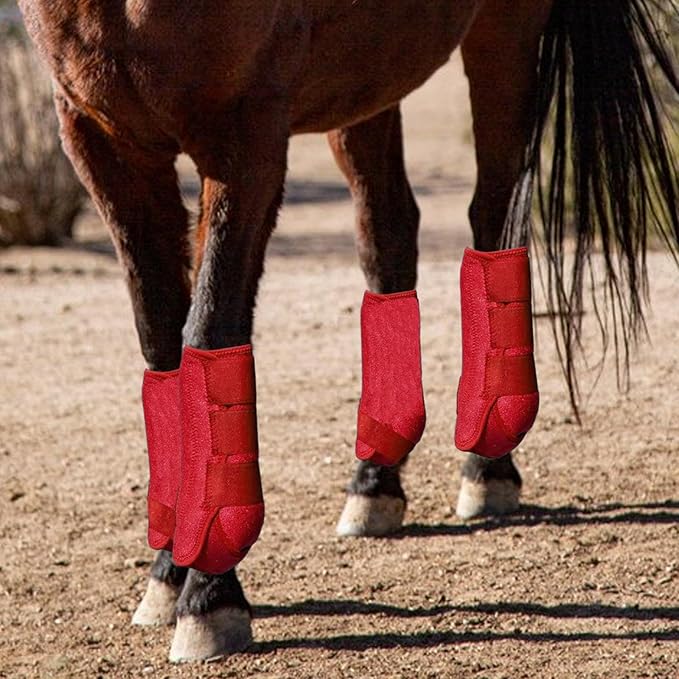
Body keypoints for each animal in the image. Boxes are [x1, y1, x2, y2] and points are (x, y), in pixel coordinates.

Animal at [17, 0, 678, 663]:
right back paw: (374, 482)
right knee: (389, 232)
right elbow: (160, 342)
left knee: (495, 217)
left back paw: (487, 466)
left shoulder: (244, 139)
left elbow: (208, 331)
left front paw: (210, 594)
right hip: (368, 83)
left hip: (505, 36)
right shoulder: (102, 141)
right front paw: (169, 570)